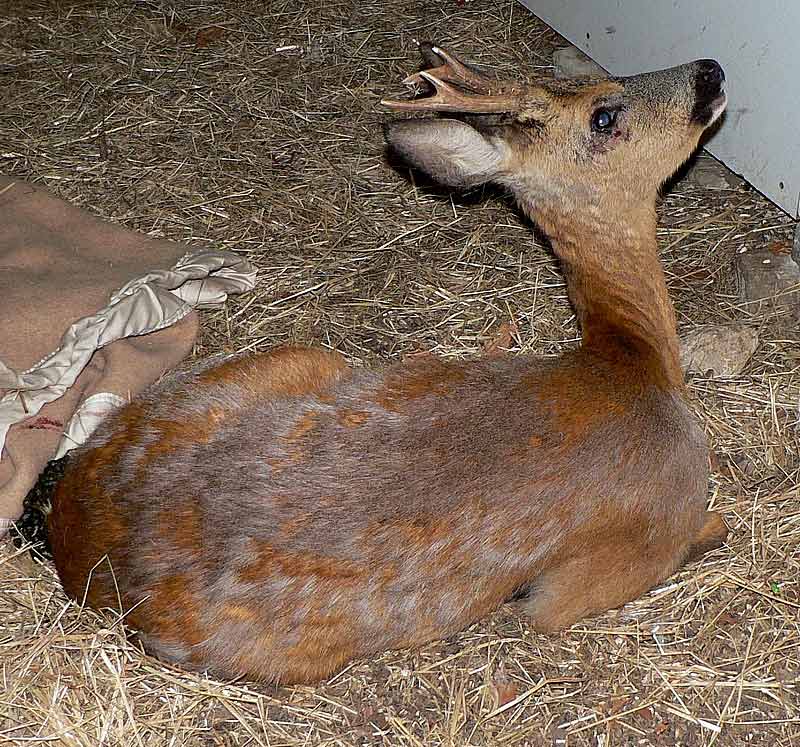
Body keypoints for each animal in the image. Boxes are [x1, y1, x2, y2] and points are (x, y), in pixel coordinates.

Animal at [47, 41, 728, 684]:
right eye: (604, 114)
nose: (711, 70)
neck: (633, 361)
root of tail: (76, 550)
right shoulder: (624, 554)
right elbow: (690, 536)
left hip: (272, 366)